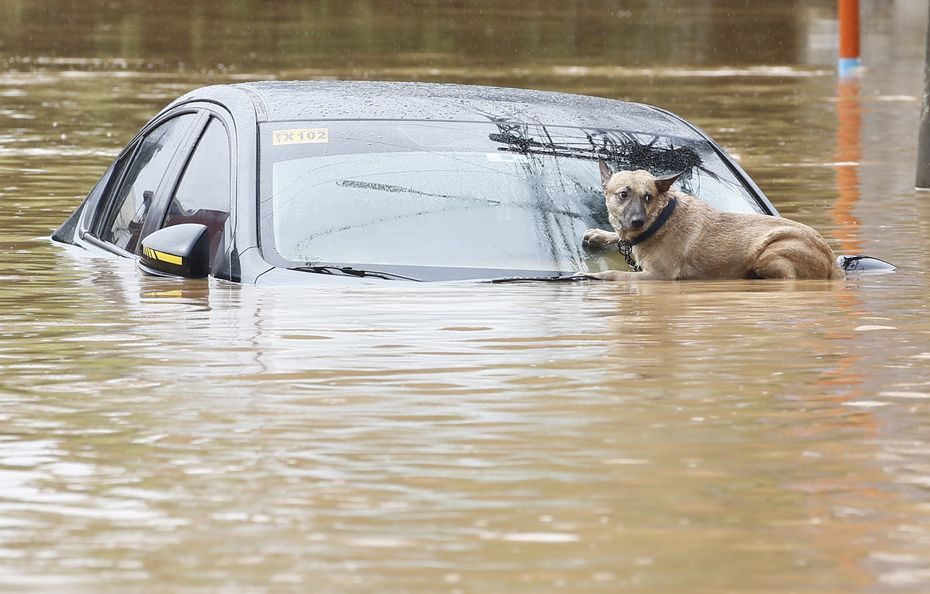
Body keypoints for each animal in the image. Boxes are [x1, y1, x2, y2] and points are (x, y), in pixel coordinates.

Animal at [584, 163, 844, 280]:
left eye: (648, 197)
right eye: (623, 194)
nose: (637, 221)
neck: (660, 220)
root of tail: (832, 261)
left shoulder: (658, 276)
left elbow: (616, 275)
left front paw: (595, 276)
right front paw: (600, 234)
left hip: (770, 253)